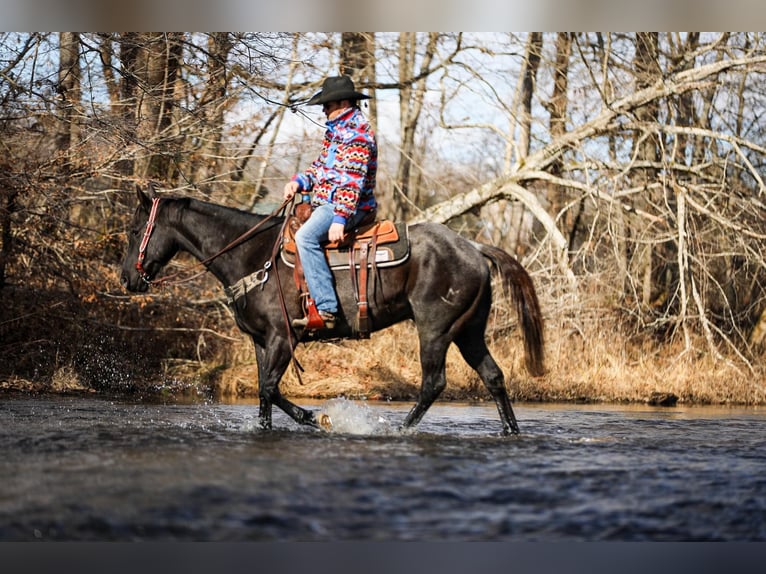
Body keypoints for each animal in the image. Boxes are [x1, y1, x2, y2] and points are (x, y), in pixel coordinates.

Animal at [120, 186, 544, 436]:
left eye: (135, 230)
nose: (127, 279)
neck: (253, 257)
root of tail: (474, 247)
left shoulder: (282, 338)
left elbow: (270, 388)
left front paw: (318, 417)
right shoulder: (261, 341)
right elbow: (263, 395)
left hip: (436, 329)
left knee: (434, 383)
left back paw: (399, 431)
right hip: (468, 330)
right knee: (493, 376)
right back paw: (510, 431)